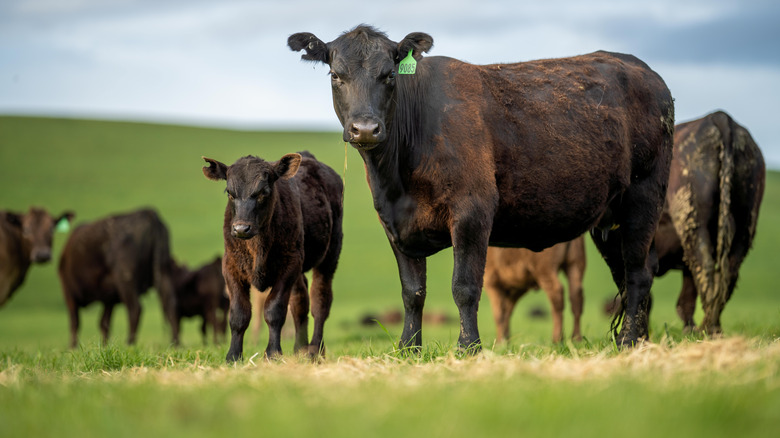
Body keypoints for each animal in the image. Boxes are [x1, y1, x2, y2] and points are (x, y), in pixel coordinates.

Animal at [58, 209, 179, 350]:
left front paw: (72, 348)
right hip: (163, 271)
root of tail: (148, 213)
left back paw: (130, 344)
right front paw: (104, 347)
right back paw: (175, 344)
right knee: (170, 304)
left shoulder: (68, 291)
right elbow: (104, 323)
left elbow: (75, 322)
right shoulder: (108, 297)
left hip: (126, 279)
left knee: (135, 309)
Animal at [203, 151, 342, 362]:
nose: (241, 228)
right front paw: (233, 355)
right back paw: (300, 348)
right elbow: (239, 314)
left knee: (320, 301)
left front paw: (272, 353)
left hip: (329, 256)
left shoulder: (288, 267)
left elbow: (274, 310)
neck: (257, 247)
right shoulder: (230, 267)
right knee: (300, 301)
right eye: (229, 193)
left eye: (263, 192)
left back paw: (315, 350)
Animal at [290, 26, 672, 350]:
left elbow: (465, 286)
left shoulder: (472, 211)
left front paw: (468, 347)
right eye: (335, 75)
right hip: (610, 217)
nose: (366, 128)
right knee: (625, 274)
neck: (398, 179)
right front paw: (409, 348)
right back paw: (636, 339)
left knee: (638, 271)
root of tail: (644, 70)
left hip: (644, 196)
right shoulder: (394, 223)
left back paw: (630, 341)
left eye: (389, 75)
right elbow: (412, 291)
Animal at [656, 111, 764, 334]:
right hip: (745, 224)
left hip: (693, 224)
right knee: (728, 271)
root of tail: (719, 117)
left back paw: (706, 328)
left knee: (703, 266)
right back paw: (713, 327)